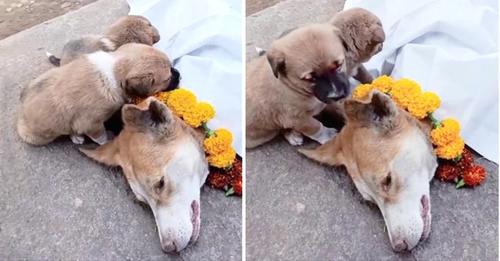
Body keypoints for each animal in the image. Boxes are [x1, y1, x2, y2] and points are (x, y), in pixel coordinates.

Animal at [17, 42, 180, 144]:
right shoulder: (91, 123)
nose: (179, 74)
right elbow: (100, 137)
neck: (113, 71)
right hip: (42, 134)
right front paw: (108, 141)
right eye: (167, 78)